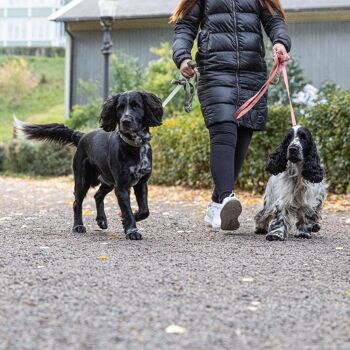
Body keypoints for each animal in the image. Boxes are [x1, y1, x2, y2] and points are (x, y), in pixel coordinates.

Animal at [15, 91, 163, 239]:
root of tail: (81, 136)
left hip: (108, 181)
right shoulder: (121, 186)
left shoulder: (141, 183)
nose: (125, 121)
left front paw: (127, 221)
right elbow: (127, 210)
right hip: (83, 180)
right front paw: (132, 230)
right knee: (77, 203)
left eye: (136, 106)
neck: (134, 145)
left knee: (97, 195)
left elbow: (144, 210)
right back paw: (78, 226)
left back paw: (101, 220)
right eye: (119, 108)